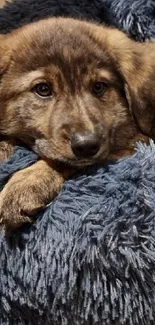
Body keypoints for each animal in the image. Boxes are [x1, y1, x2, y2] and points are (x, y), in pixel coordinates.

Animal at [0, 17, 155, 228]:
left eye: (98, 87)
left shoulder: (137, 143)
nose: (87, 145)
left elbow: (62, 161)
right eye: (43, 89)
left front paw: (28, 183)